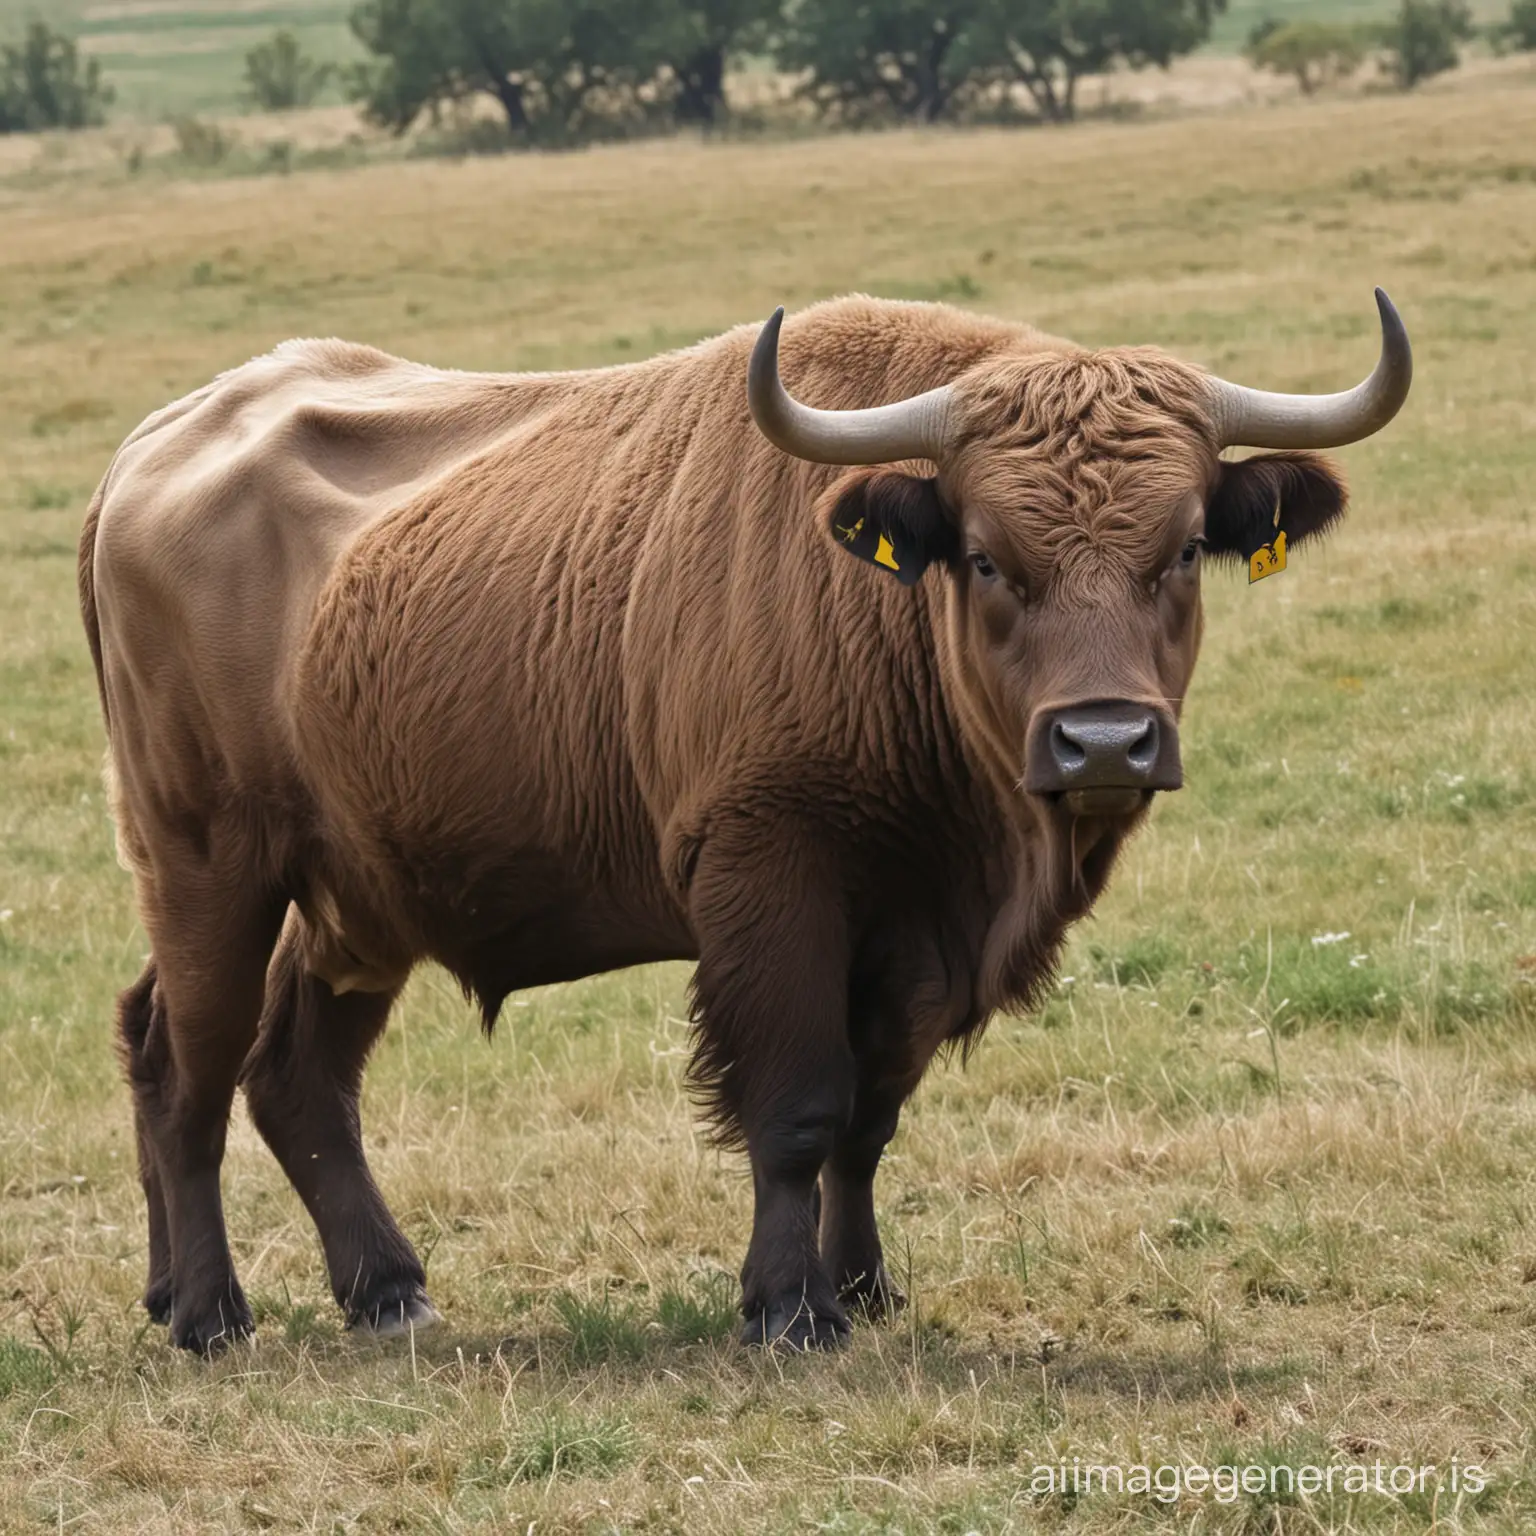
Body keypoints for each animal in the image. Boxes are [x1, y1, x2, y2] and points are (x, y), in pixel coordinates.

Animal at [77, 293, 1406, 1351]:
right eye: (986, 557)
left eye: (1180, 551)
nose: (1105, 744)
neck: (880, 608)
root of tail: (145, 453)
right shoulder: (773, 884)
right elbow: (800, 1109)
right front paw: (785, 1308)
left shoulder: (916, 936)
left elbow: (871, 1119)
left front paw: (862, 1288)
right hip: (209, 866)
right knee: (190, 1066)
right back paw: (209, 1314)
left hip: (356, 899)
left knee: (286, 1073)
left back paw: (378, 1292)